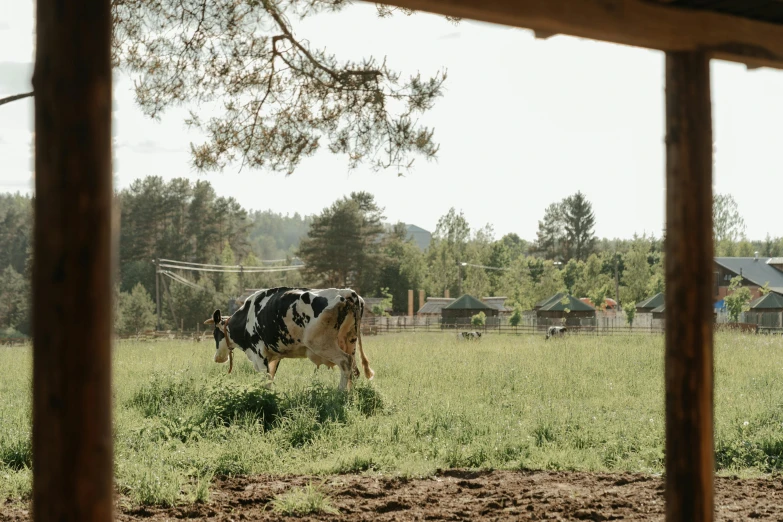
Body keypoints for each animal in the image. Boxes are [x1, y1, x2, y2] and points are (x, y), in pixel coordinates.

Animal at [202, 286, 374, 388]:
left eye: (215, 334)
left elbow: (265, 381)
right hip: (349, 342)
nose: (217, 358)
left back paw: (340, 393)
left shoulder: (260, 355)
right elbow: (271, 379)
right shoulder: (273, 357)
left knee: (345, 363)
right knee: (354, 370)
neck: (247, 317)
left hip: (322, 344)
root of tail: (347, 293)